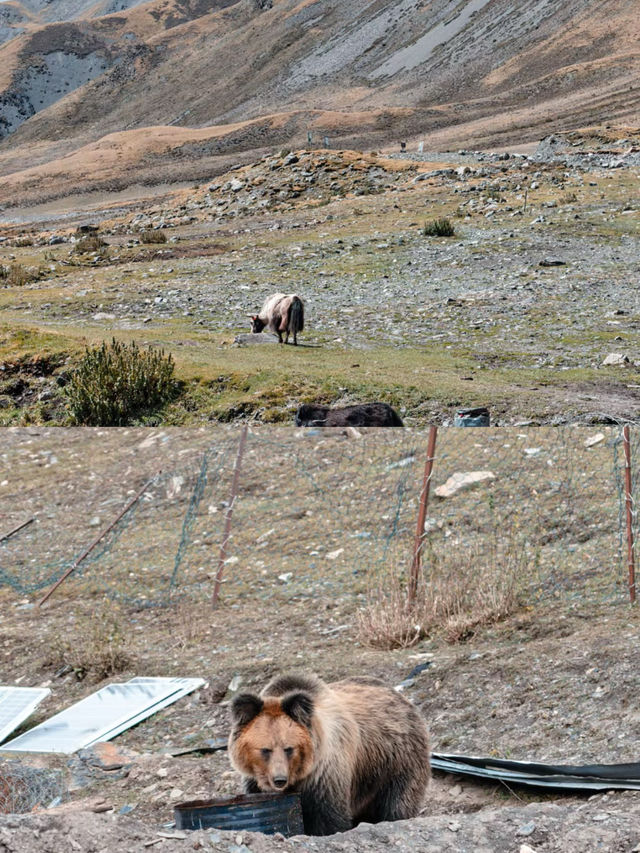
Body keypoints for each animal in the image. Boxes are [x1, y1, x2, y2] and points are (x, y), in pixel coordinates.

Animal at [228, 672, 432, 832]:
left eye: (289, 748)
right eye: (265, 749)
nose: (279, 780)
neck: (300, 778)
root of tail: (403, 699)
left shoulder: (325, 777)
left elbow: (329, 819)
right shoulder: (255, 782)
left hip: (396, 762)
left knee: (398, 801)